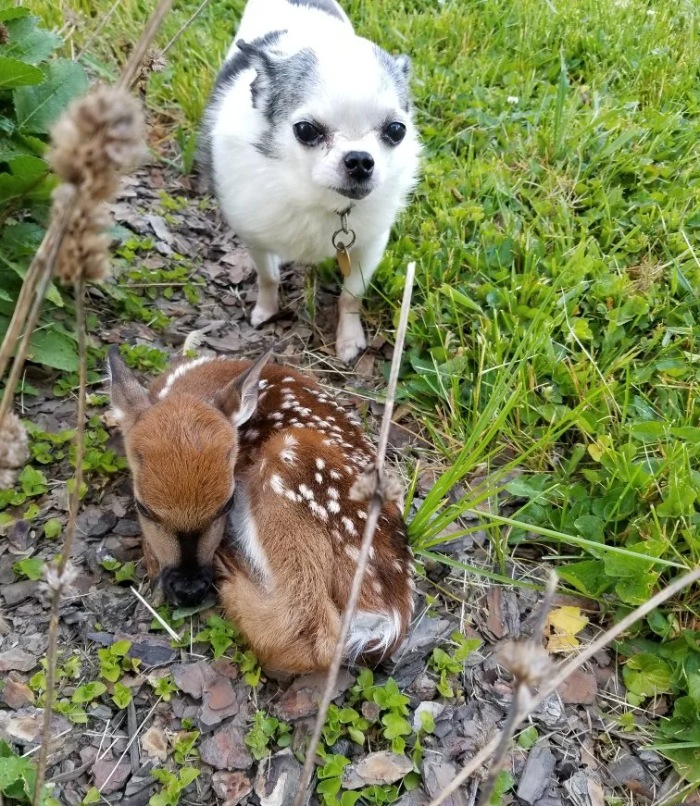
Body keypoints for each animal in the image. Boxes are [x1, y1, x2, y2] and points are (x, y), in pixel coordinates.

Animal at [200, 0, 418, 362]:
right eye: (305, 130)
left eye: (396, 130)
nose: (360, 160)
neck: (317, 199)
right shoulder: (254, 237)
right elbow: (267, 277)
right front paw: (266, 309)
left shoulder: (369, 246)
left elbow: (351, 296)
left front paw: (348, 337)